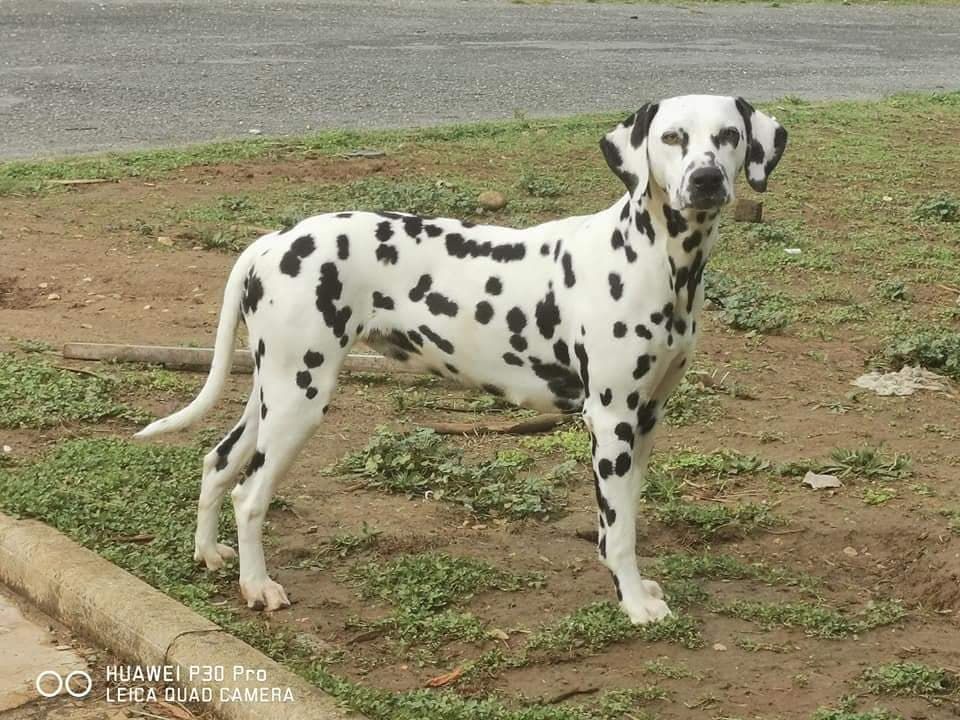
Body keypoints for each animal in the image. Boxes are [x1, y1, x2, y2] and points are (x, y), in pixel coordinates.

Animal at [139, 95, 792, 624]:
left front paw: (635, 586)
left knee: (217, 462)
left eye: (728, 136)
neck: (653, 258)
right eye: (672, 137)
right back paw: (257, 586)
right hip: (300, 399)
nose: (706, 179)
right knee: (249, 495)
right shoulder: (611, 422)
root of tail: (275, 240)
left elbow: (624, 517)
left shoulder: (646, 418)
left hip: (273, 392)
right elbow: (620, 531)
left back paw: (209, 553)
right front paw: (633, 603)